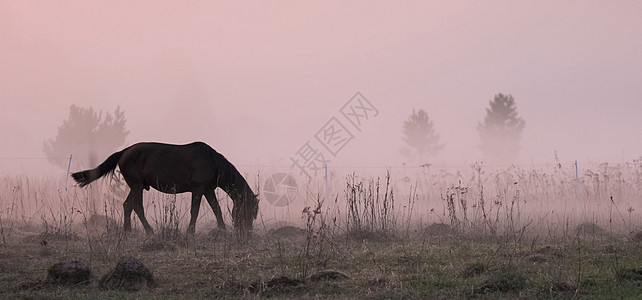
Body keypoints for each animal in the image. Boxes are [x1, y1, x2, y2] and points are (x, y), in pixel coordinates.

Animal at [71, 141, 258, 237]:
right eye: (248, 209)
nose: (247, 231)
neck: (212, 162)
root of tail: (124, 151)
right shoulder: (198, 189)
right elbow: (195, 211)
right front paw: (190, 232)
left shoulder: (208, 190)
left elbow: (216, 208)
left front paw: (222, 229)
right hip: (137, 185)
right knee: (137, 207)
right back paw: (149, 231)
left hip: (137, 185)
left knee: (127, 205)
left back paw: (127, 231)